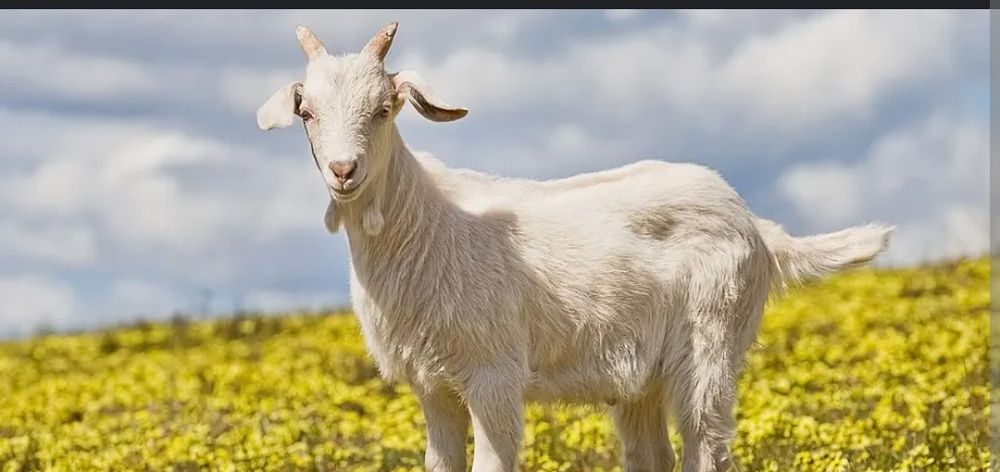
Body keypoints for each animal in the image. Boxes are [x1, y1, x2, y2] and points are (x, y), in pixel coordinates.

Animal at [257, 22, 893, 472]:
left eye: (384, 108)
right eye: (306, 112)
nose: (344, 171)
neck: (426, 225)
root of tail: (757, 227)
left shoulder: (493, 374)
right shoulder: (431, 386)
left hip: (713, 340)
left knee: (707, 446)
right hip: (642, 374)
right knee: (652, 454)